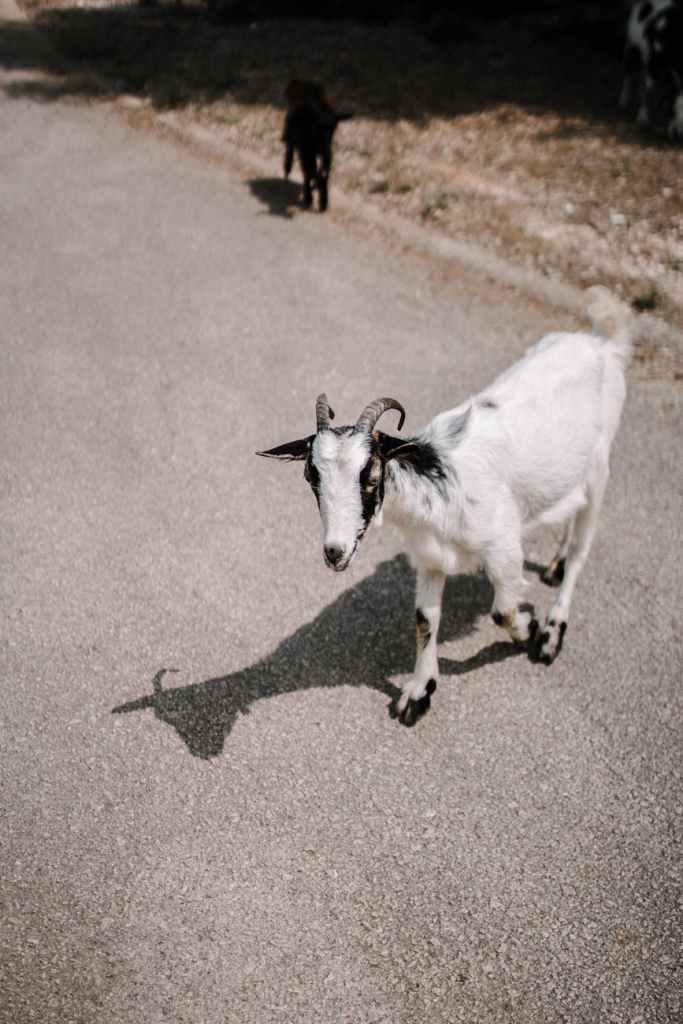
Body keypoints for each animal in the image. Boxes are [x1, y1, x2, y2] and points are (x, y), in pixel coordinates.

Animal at [257, 288, 633, 726]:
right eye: (310, 475)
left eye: (371, 473)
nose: (335, 551)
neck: (440, 485)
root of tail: (601, 343)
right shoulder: (431, 558)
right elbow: (425, 619)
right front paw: (418, 692)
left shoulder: (504, 549)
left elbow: (503, 610)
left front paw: (529, 626)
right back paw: (553, 568)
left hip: (600, 466)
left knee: (580, 552)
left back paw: (552, 631)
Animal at [282, 79, 352, 212]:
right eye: (318, 127)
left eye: (334, 128)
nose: (325, 147)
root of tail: (302, 82)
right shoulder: (306, 150)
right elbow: (310, 171)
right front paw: (310, 197)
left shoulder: (324, 153)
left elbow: (322, 173)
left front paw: (323, 200)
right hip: (293, 140)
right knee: (292, 156)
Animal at [620, 0, 683, 139]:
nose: (678, 135)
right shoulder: (653, 64)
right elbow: (649, 91)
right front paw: (643, 119)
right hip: (631, 49)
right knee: (629, 73)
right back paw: (623, 101)